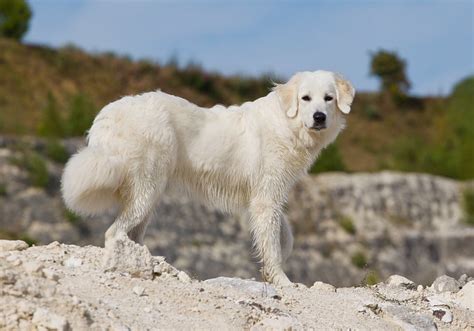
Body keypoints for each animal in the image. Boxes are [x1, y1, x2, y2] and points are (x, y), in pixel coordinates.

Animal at [61, 69, 354, 286]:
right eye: (305, 98)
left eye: (328, 98)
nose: (319, 117)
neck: (287, 123)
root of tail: (109, 114)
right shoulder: (266, 198)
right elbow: (272, 244)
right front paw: (282, 281)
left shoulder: (267, 199)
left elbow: (284, 235)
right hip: (147, 189)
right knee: (114, 232)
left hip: (149, 196)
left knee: (131, 232)